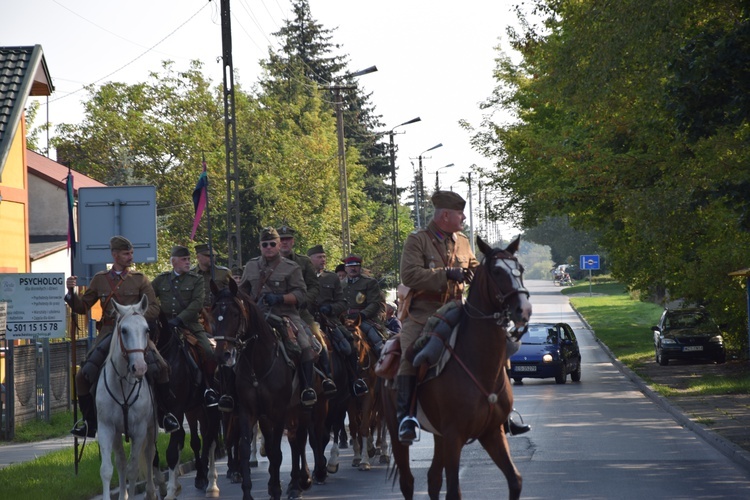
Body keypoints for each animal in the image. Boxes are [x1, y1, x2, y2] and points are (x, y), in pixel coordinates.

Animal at [97, 294, 160, 498]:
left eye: (147, 330)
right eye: (123, 330)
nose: (139, 367)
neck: (122, 385)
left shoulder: (139, 430)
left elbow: (133, 469)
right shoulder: (107, 428)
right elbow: (108, 469)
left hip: (152, 427)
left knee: (149, 455)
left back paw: (152, 491)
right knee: (121, 462)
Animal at [384, 235, 532, 500]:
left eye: (521, 269)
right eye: (496, 271)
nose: (523, 310)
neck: (480, 365)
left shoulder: (492, 432)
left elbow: (515, 480)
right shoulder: (455, 437)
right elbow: (454, 490)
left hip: (440, 436)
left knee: (432, 478)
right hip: (396, 430)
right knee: (408, 482)